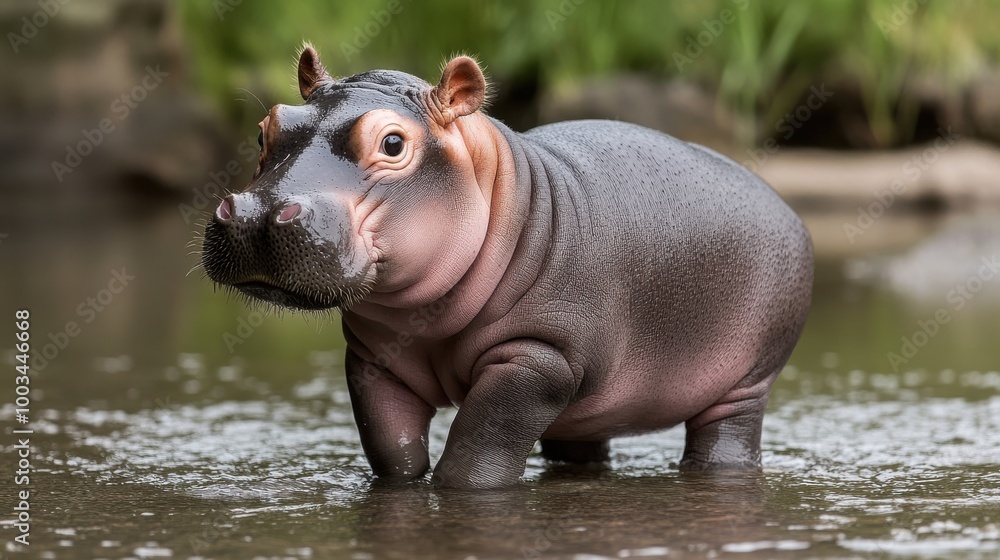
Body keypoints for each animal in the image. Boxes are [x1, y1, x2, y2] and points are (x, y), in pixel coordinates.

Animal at [201, 46, 813, 489]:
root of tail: (781, 203)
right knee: (581, 441)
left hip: (747, 382)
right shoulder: (375, 360)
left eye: (393, 143)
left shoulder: (538, 359)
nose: (256, 213)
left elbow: (475, 456)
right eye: (266, 129)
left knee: (727, 435)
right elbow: (395, 454)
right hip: (590, 405)